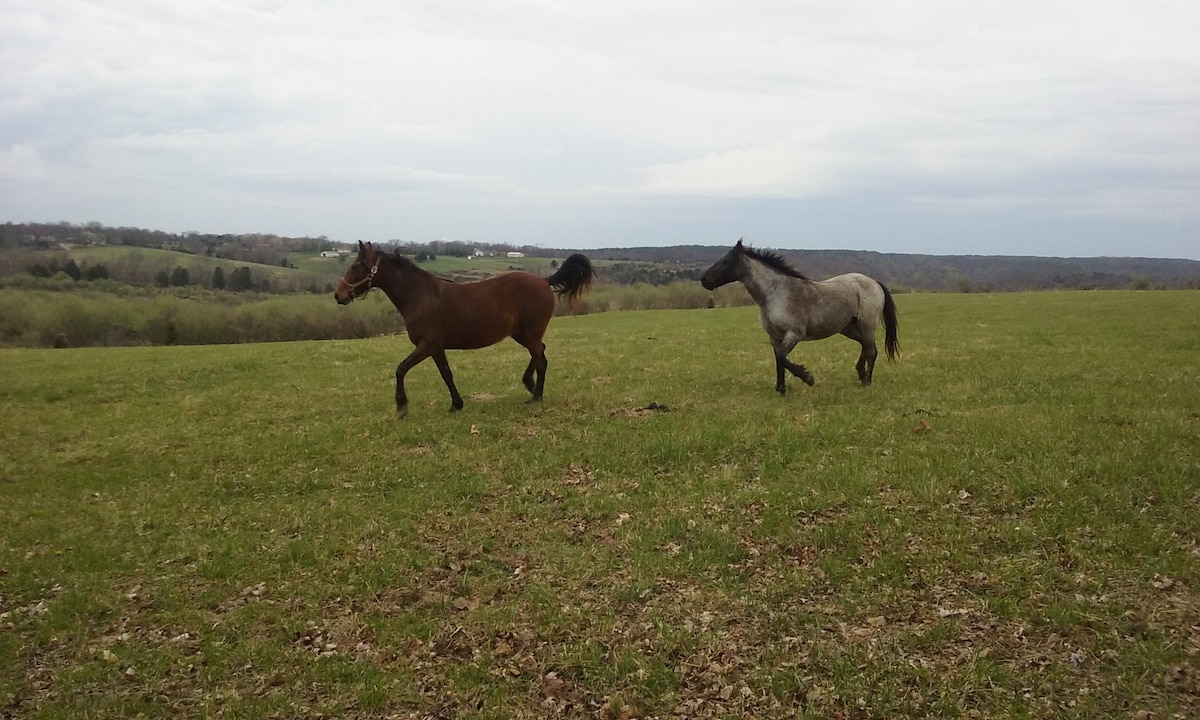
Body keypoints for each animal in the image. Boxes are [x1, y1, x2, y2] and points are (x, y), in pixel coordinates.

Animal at [333, 242, 595, 415]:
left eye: (356, 265)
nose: (339, 295)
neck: (420, 296)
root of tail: (543, 280)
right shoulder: (436, 348)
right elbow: (446, 374)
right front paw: (456, 404)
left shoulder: (426, 345)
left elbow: (401, 369)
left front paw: (402, 406)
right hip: (521, 334)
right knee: (540, 351)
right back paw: (529, 385)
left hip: (529, 333)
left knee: (541, 359)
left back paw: (536, 396)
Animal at [700, 238, 897, 393]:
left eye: (726, 261)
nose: (704, 280)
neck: (776, 294)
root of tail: (874, 282)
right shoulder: (775, 338)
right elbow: (779, 361)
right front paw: (781, 389)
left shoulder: (794, 334)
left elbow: (782, 358)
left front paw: (807, 378)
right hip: (849, 329)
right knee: (867, 348)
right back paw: (861, 374)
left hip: (867, 325)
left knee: (871, 351)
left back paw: (867, 381)